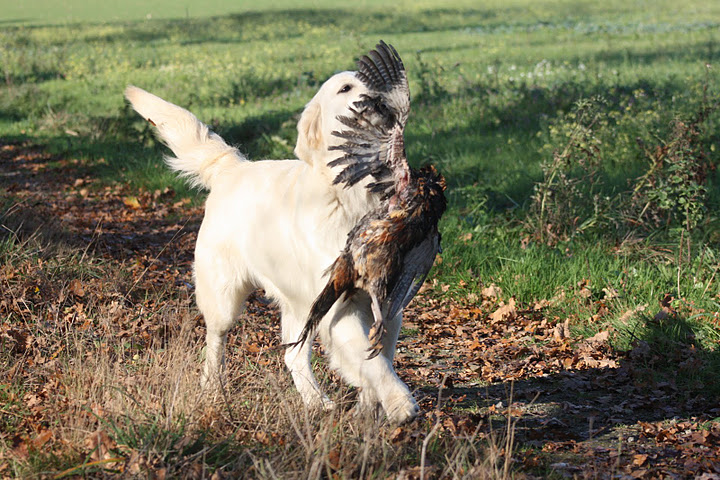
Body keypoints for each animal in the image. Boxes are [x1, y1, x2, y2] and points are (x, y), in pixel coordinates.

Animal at [122, 69, 416, 422]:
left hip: (299, 303)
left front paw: (370, 406)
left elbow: (379, 356)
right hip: (224, 297)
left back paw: (316, 401)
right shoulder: (338, 305)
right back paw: (212, 387)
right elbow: (373, 362)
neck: (353, 197)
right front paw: (399, 402)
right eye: (346, 87)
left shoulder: (388, 303)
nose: (380, 98)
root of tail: (233, 166)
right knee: (215, 339)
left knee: (293, 356)